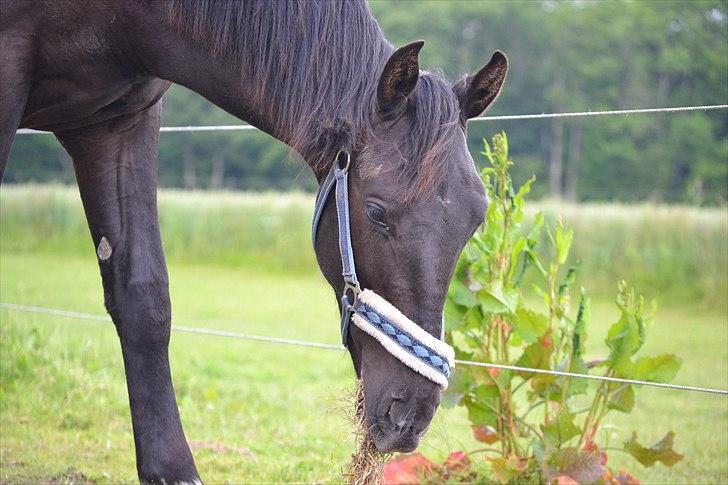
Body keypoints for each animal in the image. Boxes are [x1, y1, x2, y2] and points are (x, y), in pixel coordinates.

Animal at [0, 1, 506, 482]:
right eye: (378, 213)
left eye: (476, 219)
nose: (408, 415)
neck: (126, 16)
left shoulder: (119, 121)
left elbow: (143, 299)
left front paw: (173, 469)